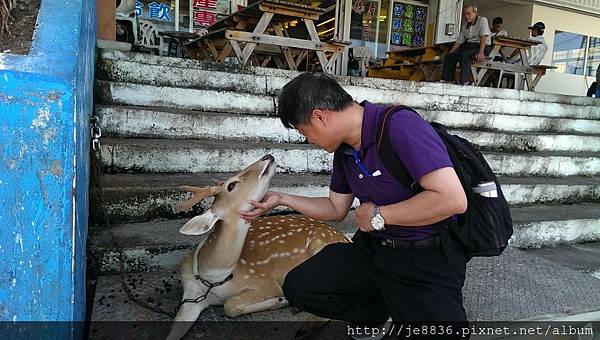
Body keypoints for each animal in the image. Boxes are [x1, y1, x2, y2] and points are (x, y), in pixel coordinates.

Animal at [166, 155, 350, 340]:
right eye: (231, 185)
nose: (267, 156)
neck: (213, 277)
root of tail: (344, 237)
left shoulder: (264, 281)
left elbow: (229, 305)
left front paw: (280, 300)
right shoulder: (191, 294)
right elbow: (175, 329)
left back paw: (306, 326)